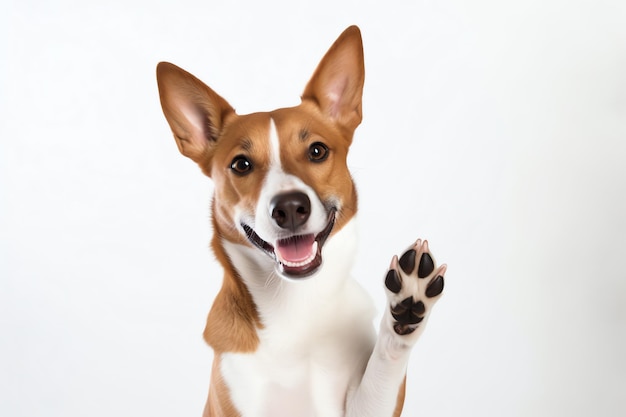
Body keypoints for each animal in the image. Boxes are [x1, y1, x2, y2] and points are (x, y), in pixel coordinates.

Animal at [158, 26, 446, 416]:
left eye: (317, 151)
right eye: (241, 164)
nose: (291, 207)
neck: (296, 309)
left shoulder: (364, 405)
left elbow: (385, 364)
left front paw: (407, 306)